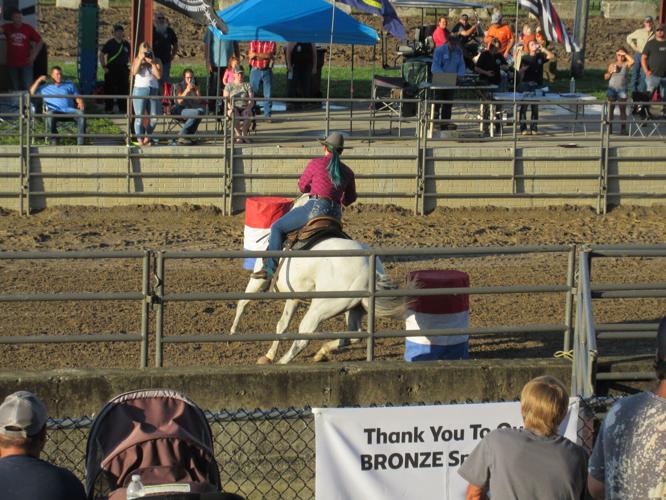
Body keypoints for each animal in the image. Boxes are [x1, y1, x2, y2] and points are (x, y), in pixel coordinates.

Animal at [228, 203, 408, 364]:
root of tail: (369, 269)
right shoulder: (294, 297)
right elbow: (282, 325)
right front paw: (269, 355)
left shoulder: (259, 281)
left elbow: (242, 303)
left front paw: (232, 334)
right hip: (354, 308)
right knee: (355, 335)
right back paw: (322, 353)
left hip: (319, 309)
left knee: (303, 339)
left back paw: (282, 363)